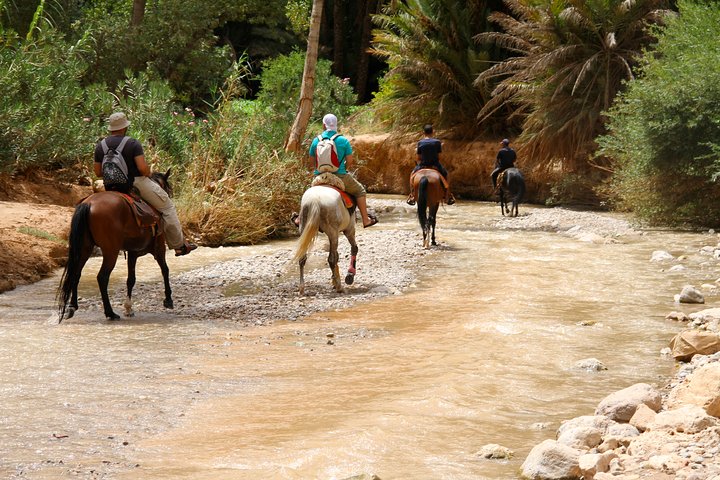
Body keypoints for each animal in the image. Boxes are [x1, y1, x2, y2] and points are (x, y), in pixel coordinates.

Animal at [56, 171, 174, 322]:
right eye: (168, 189)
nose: (169, 196)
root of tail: (88, 203)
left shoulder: (132, 252)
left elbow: (131, 279)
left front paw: (129, 308)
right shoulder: (159, 248)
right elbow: (165, 270)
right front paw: (168, 299)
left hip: (84, 248)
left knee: (76, 273)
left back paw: (72, 307)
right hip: (110, 251)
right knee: (102, 277)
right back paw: (110, 313)